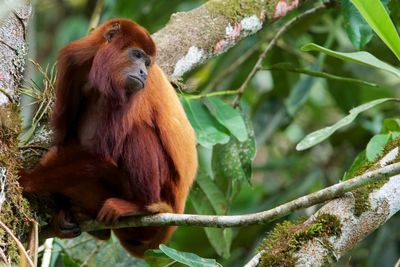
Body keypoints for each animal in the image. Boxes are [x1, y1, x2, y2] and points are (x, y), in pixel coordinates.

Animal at [19, 18, 198, 258]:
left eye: (147, 63)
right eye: (136, 55)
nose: (143, 72)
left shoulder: (134, 90)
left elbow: (102, 156)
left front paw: (26, 180)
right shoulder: (73, 62)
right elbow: (67, 139)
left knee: (137, 131)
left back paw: (139, 206)